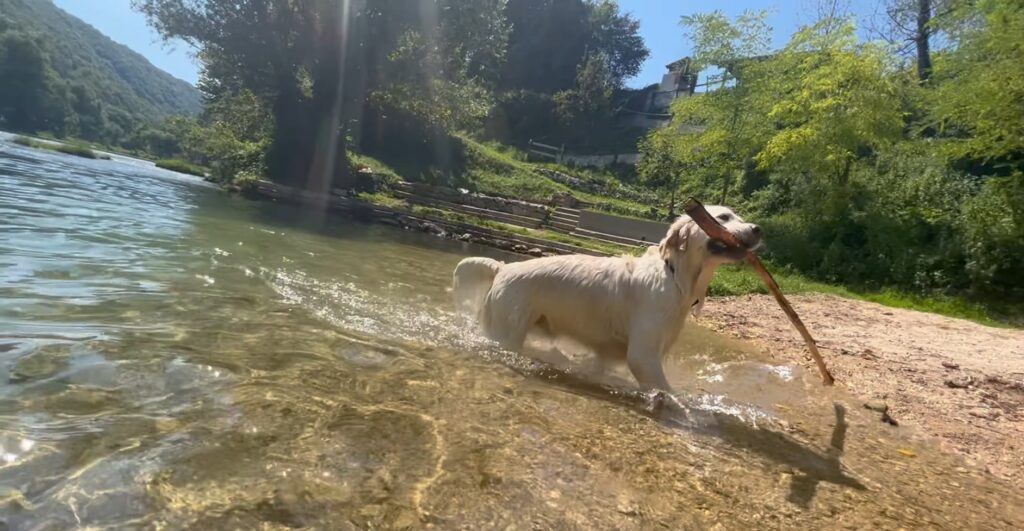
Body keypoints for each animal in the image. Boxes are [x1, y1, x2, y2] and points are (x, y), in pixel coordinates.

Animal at [454, 205, 761, 392]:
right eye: (723, 217)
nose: (758, 229)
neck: (674, 276)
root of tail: (502, 267)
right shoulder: (643, 356)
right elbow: (668, 393)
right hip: (506, 332)